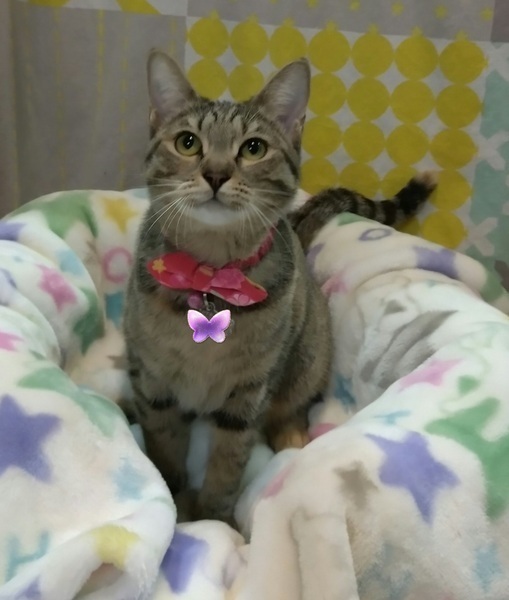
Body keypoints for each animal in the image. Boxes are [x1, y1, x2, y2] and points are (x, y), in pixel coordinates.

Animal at [123, 50, 436, 525]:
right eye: (187, 143)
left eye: (254, 148)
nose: (216, 173)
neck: (210, 273)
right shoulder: (152, 380)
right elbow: (164, 448)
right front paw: (175, 498)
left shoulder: (249, 393)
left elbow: (227, 464)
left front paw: (213, 518)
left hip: (305, 358)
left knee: (290, 411)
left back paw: (293, 442)